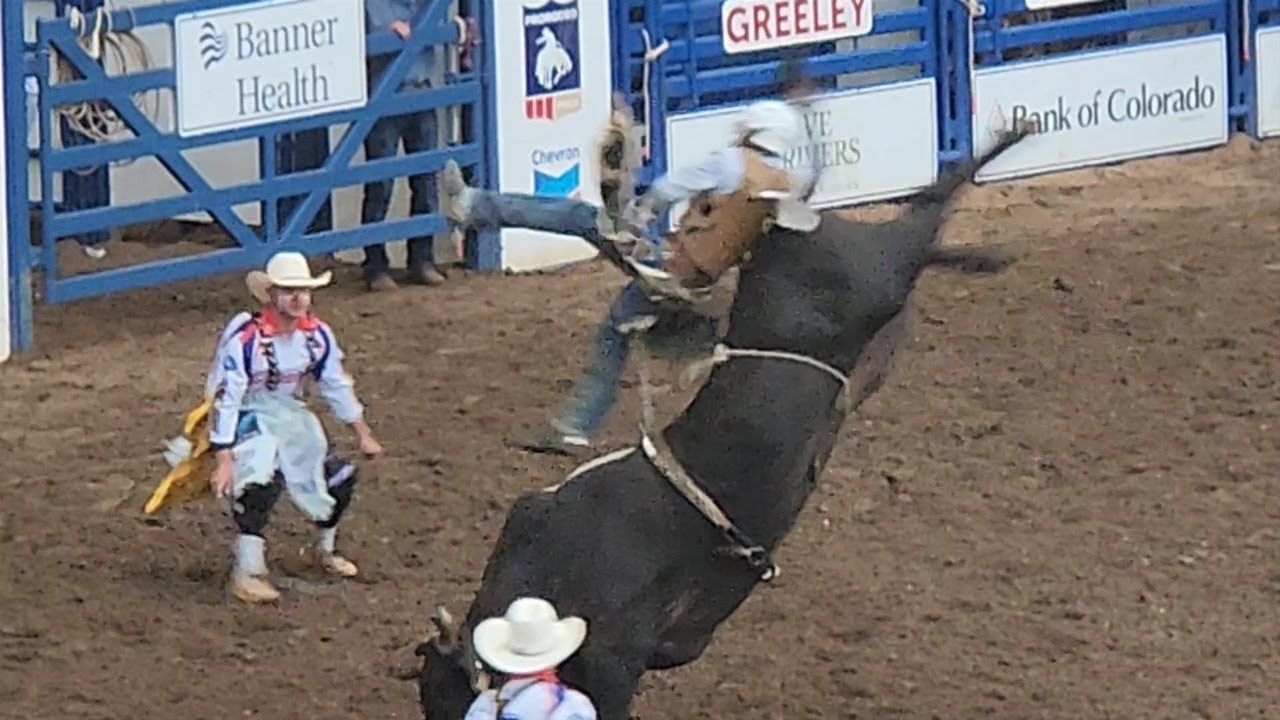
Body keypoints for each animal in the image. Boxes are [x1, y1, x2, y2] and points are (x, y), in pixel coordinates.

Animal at [414, 125, 1033, 720]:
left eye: (443, 696)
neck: (543, 569)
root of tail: (783, 225)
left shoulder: (618, 650)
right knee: (925, 220)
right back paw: (986, 252)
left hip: (875, 270)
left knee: (928, 207)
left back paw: (1011, 137)